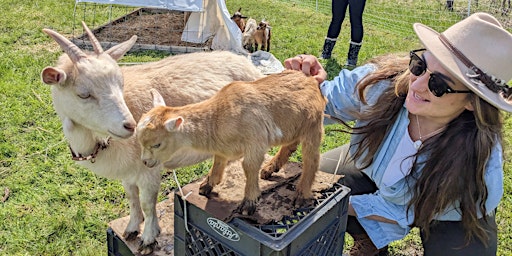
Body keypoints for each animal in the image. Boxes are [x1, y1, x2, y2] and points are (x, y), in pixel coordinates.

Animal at [40, 21, 264, 253]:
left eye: (121, 84)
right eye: (83, 94)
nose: (130, 125)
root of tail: (244, 60)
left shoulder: (149, 168)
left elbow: (148, 204)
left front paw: (148, 237)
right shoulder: (127, 171)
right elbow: (131, 197)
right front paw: (131, 228)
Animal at [137, 70, 328, 216]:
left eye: (157, 144)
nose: (145, 162)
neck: (219, 116)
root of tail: (311, 80)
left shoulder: (255, 141)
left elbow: (249, 166)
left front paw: (249, 202)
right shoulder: (223, 148)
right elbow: (218, 161)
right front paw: (207, 185)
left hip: (313, 125)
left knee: (311, 159)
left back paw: (301, 194)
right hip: (293, 126)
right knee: (290, 145)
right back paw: (270, 168)